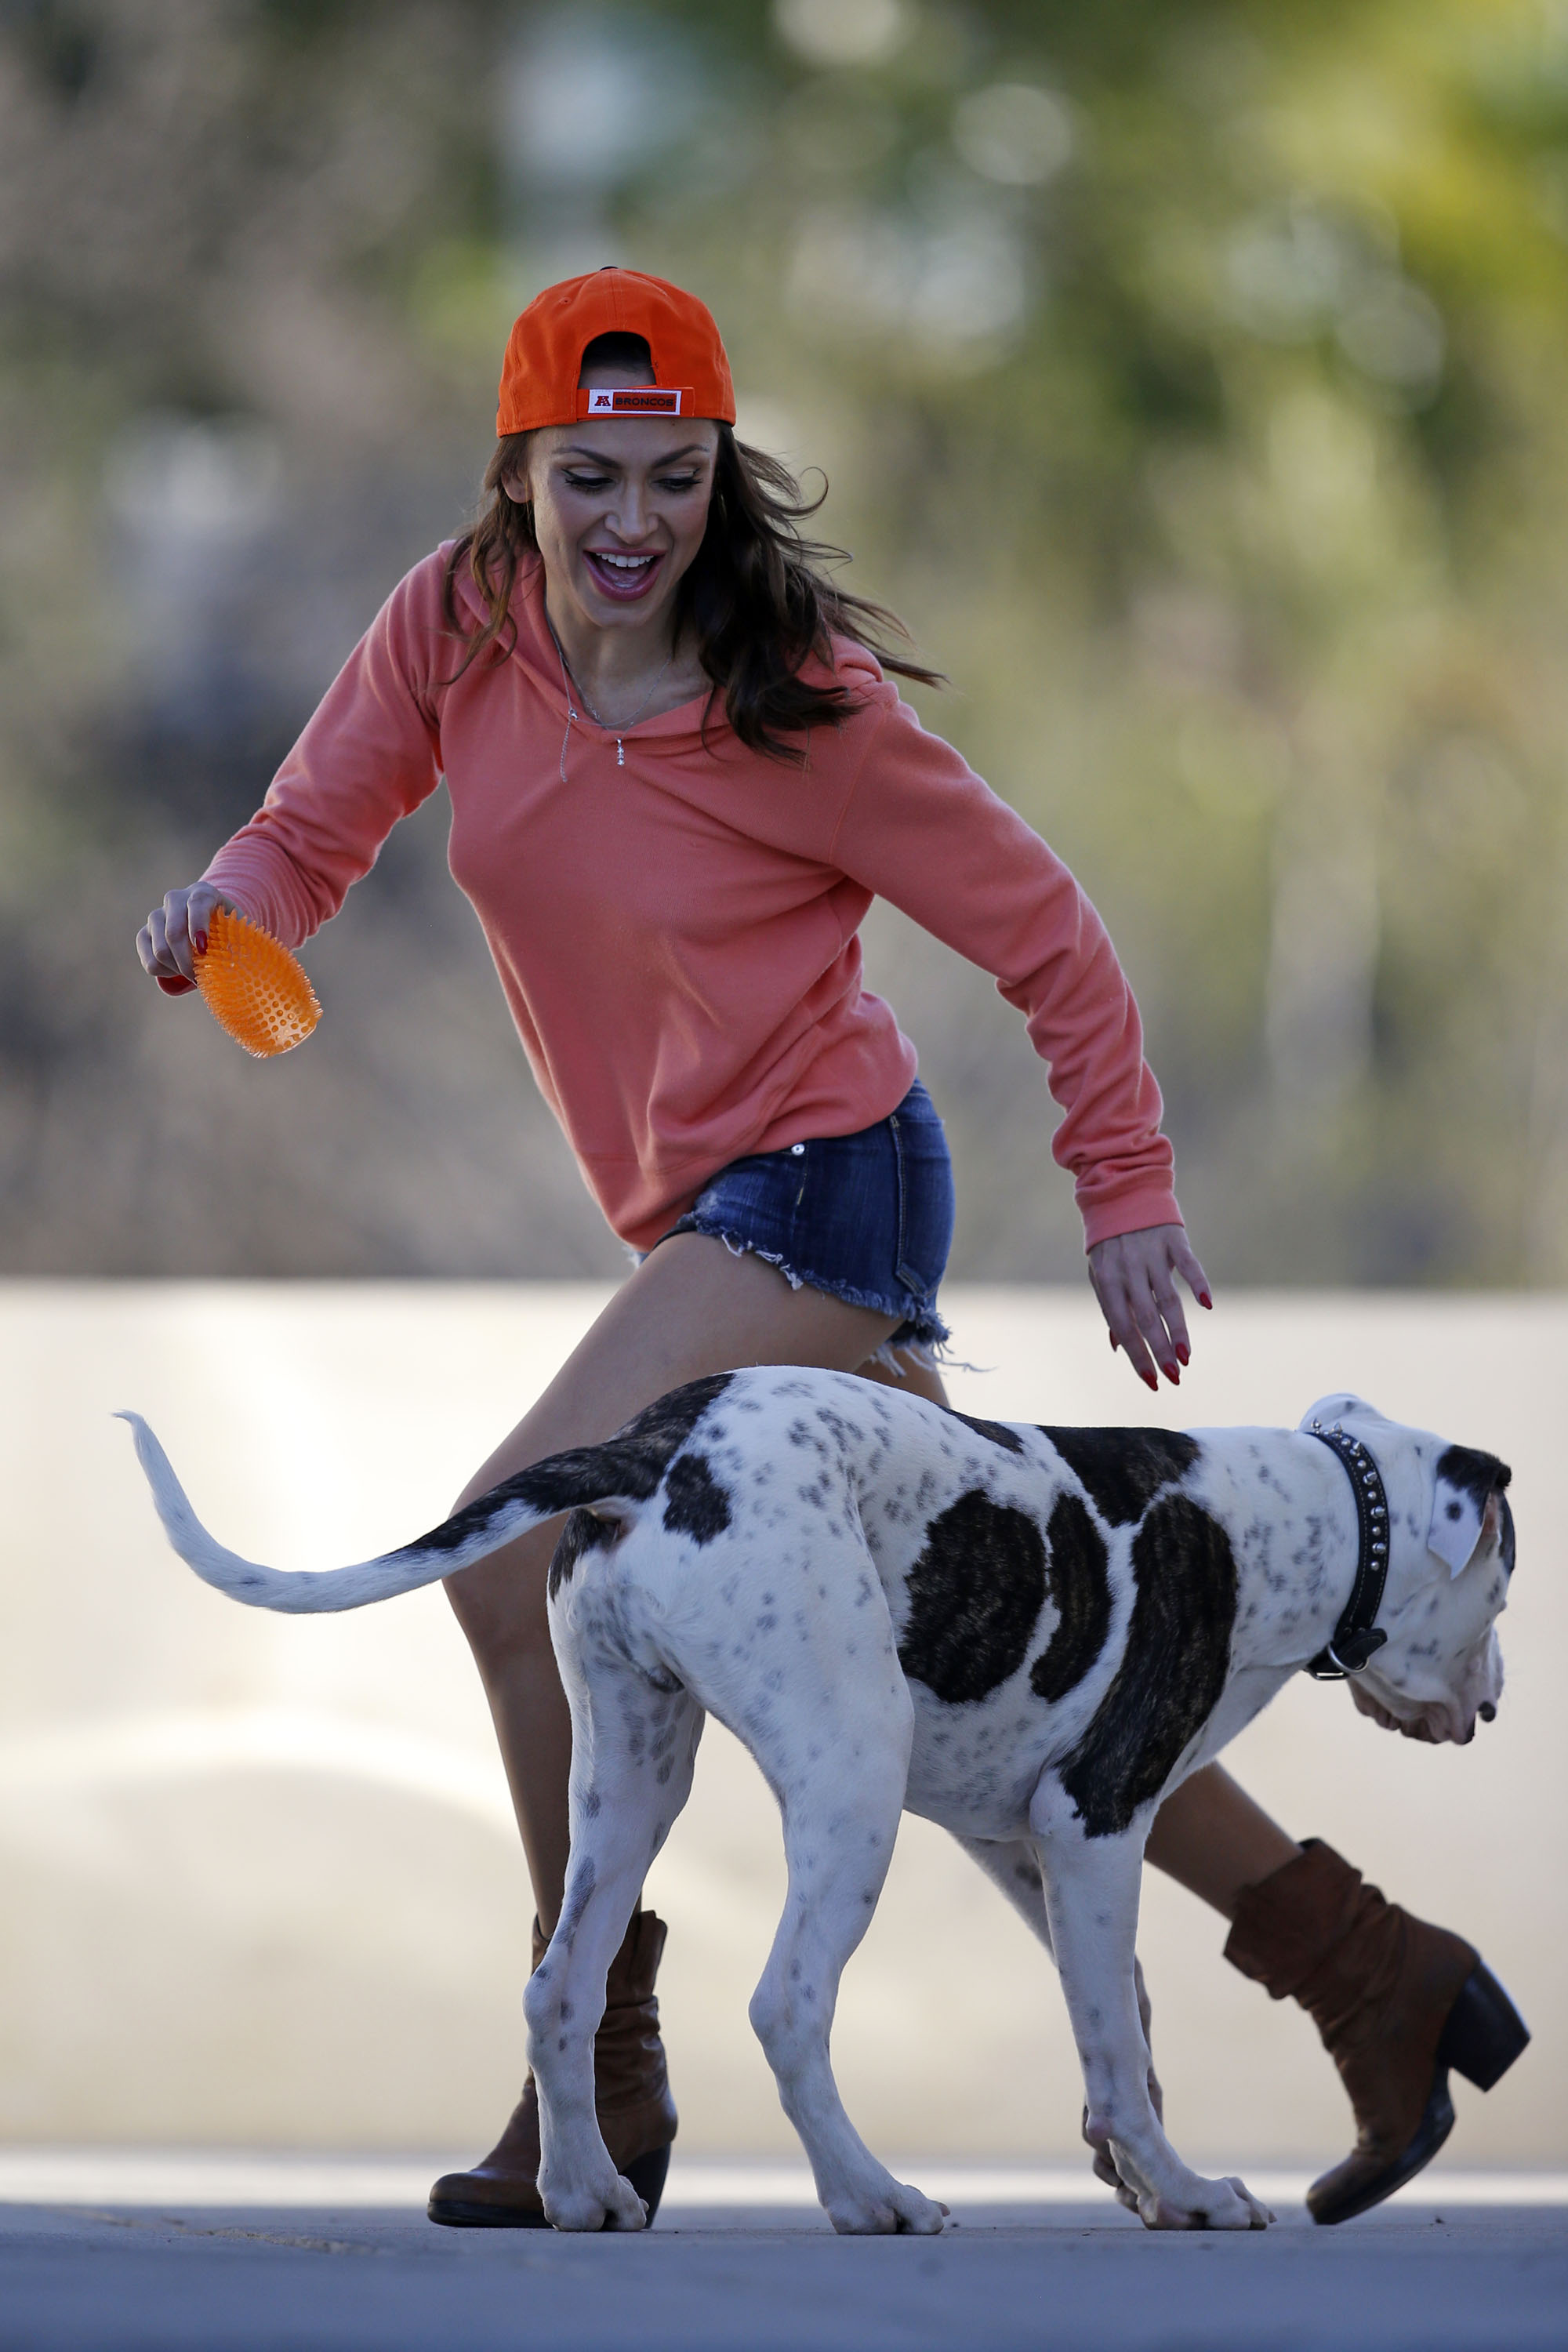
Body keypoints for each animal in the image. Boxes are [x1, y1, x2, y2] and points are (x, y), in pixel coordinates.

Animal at [120, 1372, 1514, 2235]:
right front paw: (1185, 2193)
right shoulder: (1097, 1818)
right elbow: (1119, 2040)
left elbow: (1119, 2021)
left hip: (632, 1775)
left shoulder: (1024, 1845)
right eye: (1505, 1581)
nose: (1497, 1700)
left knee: (560, 1986)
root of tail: (661, 1446)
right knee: (786, 2003)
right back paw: (871, 2196)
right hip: (852, 1780)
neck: (1301, 1520)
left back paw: (586, 2194)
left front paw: (1141, 2176)